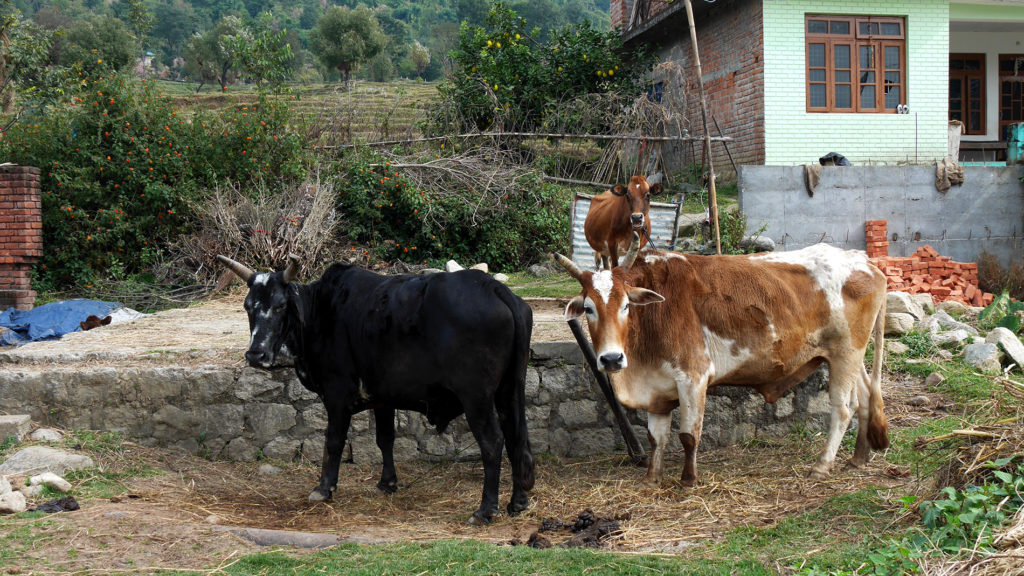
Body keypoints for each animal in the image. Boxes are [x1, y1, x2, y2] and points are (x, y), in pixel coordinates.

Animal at [217, 253, 536, 522]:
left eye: (280, 305)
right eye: (248, 307)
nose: (255, 354)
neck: (320, 312)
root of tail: (494, 288)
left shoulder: (336, 394)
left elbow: (333, 441)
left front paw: (324, 487)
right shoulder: (384, 397)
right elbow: (385, 439)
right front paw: (387, 482)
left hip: (476, 397)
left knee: (492, 442)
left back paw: (485, 510)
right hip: (510, 389)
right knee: (515, 436)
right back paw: (517, 502)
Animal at [552, 237, 888, 483]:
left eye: (625, 305)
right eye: (589, 308)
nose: (611, 359)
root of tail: (865, 262)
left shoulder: (693, 377)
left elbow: (688, 435)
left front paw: (688, 480)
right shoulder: (657, 389)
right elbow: (656, 438)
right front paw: (651, 478)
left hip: (846, 352)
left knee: (843, 409)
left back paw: (822, 465)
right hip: (847, 357)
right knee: (865, 398)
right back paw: (858, 458)